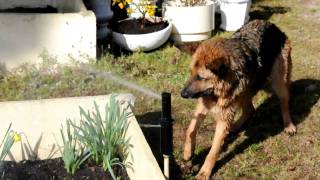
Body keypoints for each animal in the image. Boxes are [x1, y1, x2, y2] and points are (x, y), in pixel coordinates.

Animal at [181, 19, 296, 179]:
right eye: (191, 73)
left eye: (200, 77)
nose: (182, 94)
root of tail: (272, 25)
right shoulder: (203, 104)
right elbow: (190, 129)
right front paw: (188, 152)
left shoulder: (223, 117)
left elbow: (213, 151)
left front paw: (204, 172)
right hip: (244, 91)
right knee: (250, 110)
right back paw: (235, 126)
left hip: (279, 82)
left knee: (284, 102)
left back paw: (289, 125)